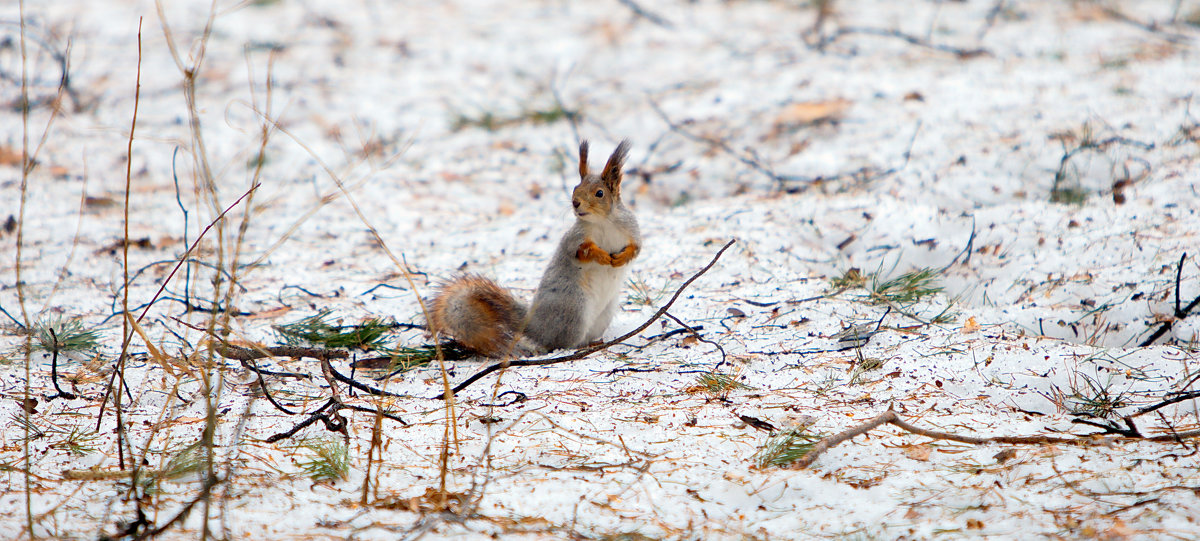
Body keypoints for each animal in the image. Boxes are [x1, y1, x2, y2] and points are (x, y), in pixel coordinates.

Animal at [427, 142, 643, 357]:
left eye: (599, 193)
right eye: (575, 188)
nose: (575, 203)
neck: (603, 222)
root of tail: (535, 326)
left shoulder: (632, 229)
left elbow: (636, 249)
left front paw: (621, 258)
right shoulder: (575, 239)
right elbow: (581, 252)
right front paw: (602, 256)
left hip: (604, 313)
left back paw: (595, 342)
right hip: (575, 310)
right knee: (560, 343)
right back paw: (578, 347)